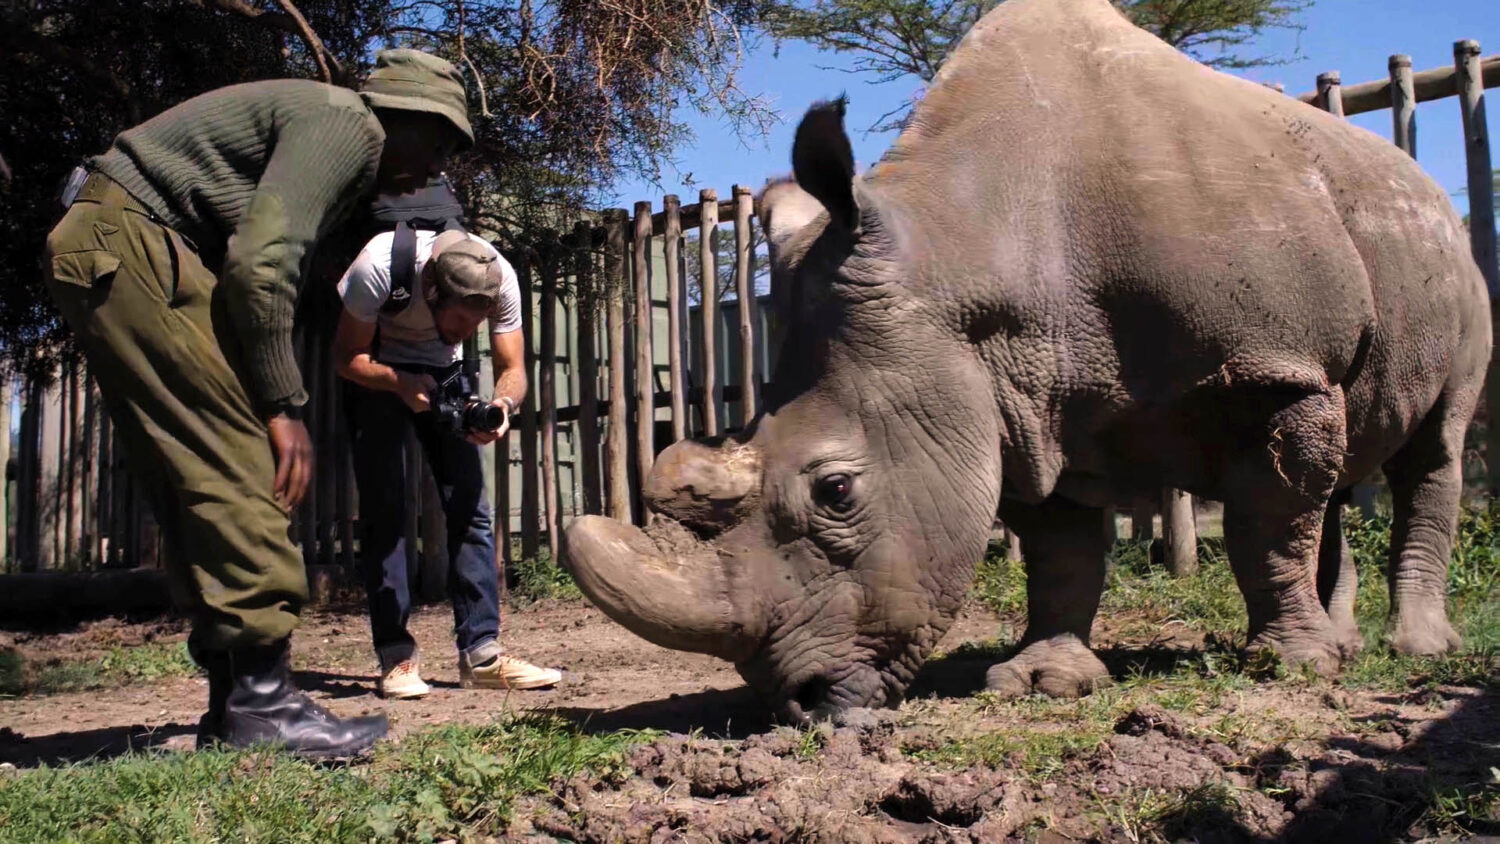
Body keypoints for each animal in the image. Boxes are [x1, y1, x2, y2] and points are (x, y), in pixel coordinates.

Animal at [564, 1, 1488, 725]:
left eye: (837, 491)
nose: (802, 704)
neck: (971, 245)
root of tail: (1422, 186)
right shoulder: (1018, 393)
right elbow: (1061, 547)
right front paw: (1043, 683)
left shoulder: (1276, 365)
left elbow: (1268, 525)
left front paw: (1291, 668)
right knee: (1344, 467)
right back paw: (1349, 641)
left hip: (1457, 262)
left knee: (1432, 448)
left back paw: (1412, 649)